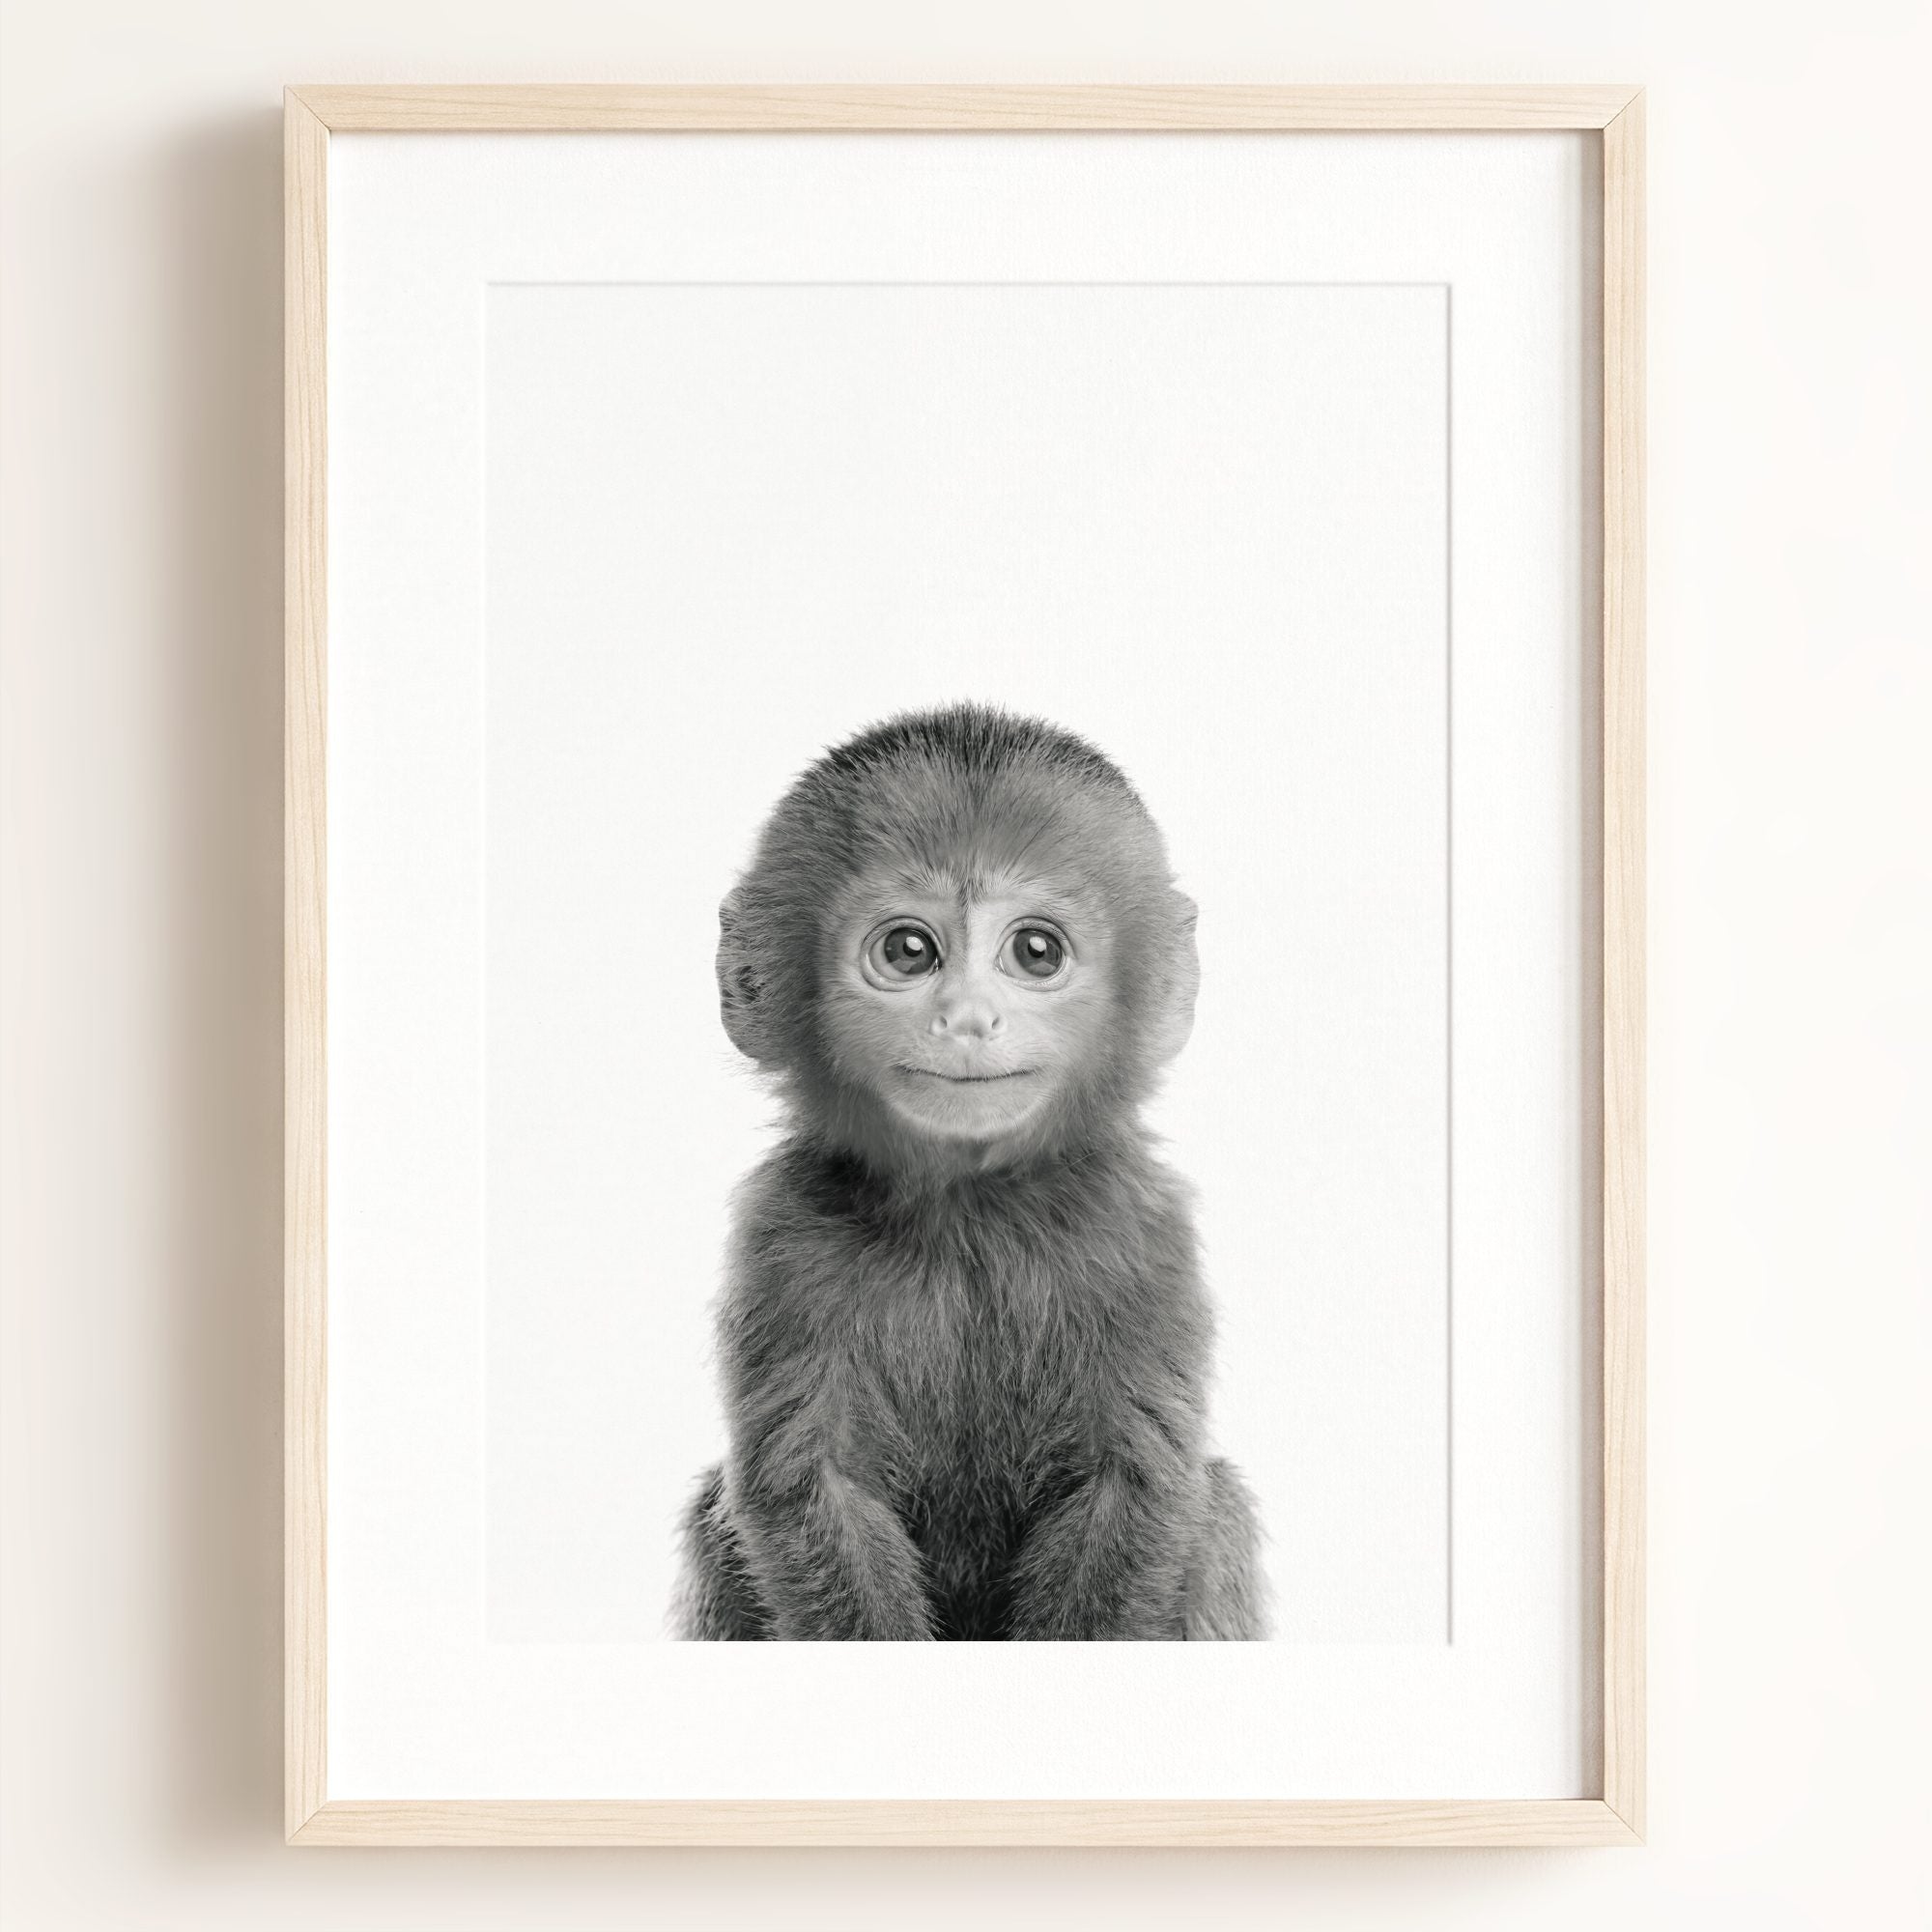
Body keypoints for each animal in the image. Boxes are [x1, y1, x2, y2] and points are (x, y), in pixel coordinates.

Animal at [673, 703, 1267, 1641]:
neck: (970, 1211)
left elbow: (1133, 1484)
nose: (968, 1018)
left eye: (1036, 951)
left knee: (1219, 1508)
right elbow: (813, 1488)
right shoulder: (782, 1234)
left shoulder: (1142, 1227)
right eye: (910, 951)